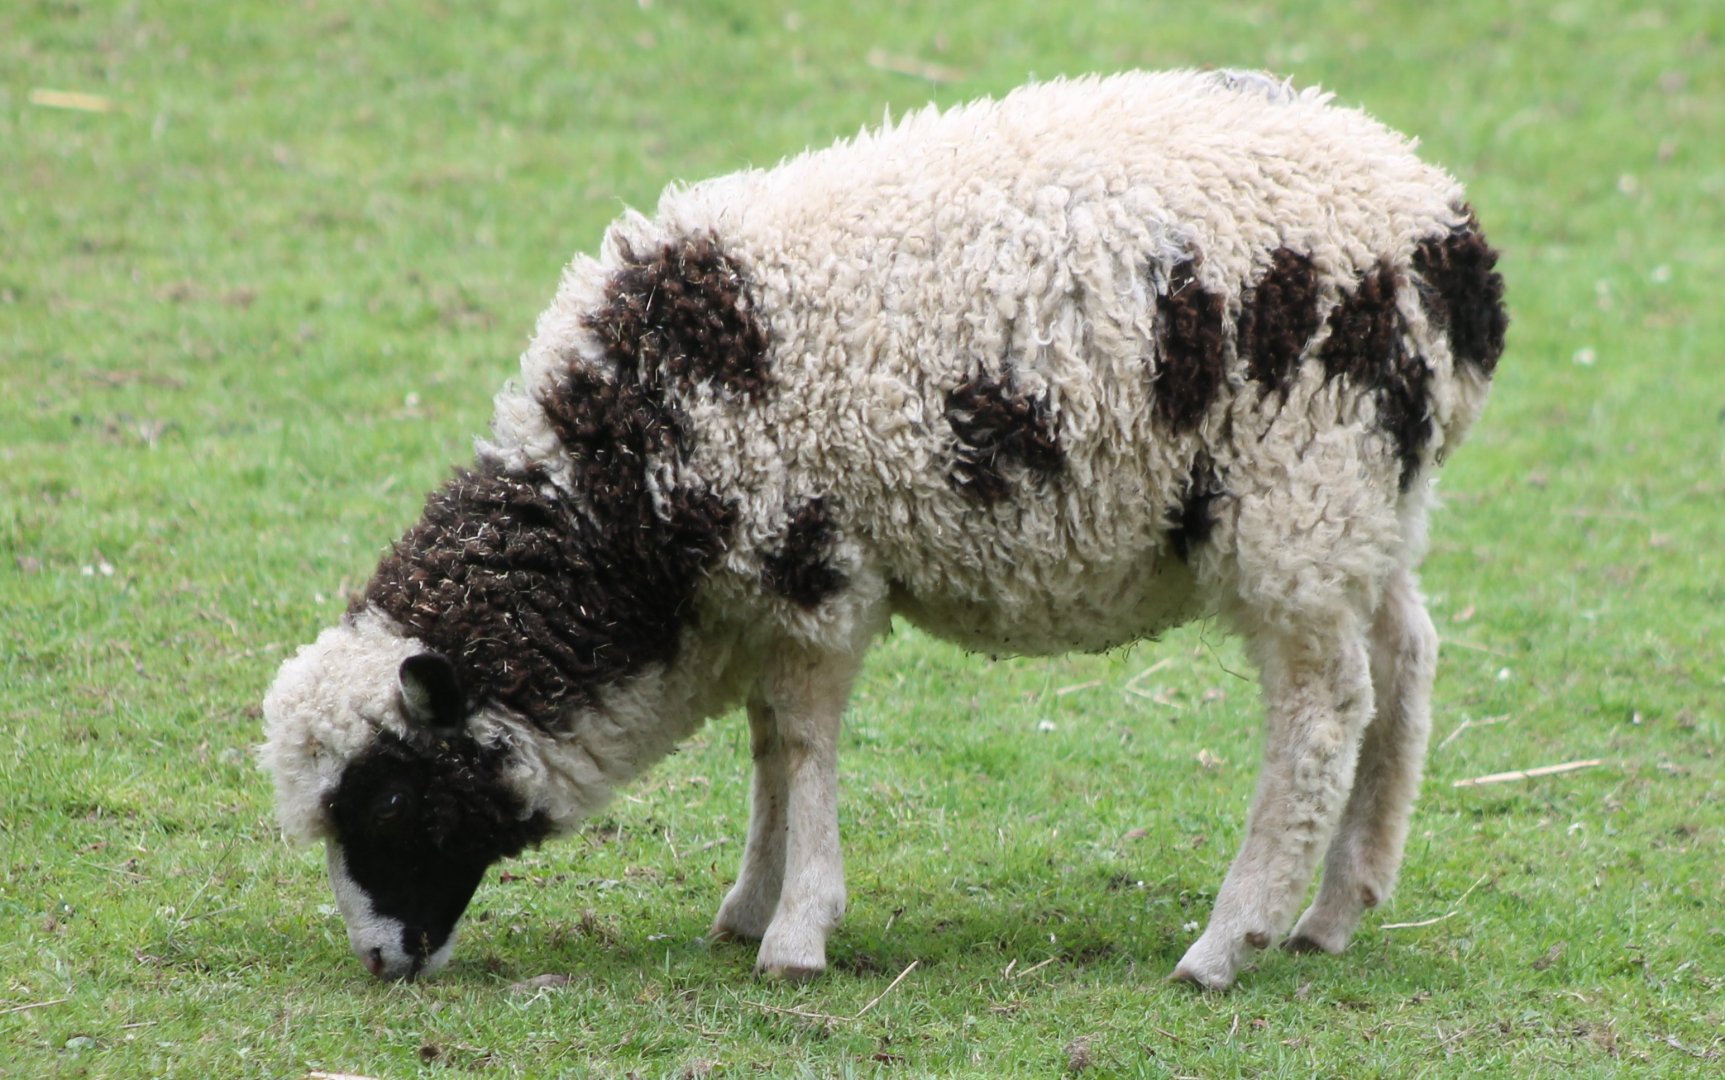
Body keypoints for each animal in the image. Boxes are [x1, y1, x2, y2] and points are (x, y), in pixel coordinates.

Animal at [261, 69, 1507, 990]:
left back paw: (1227, 940)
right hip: (1369, 500)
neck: (622, 506)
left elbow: (805, 743)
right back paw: (1338, 910)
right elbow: (770, 741)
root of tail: (1453, 244)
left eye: (389, 800)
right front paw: (748, 903)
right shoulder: (762, 595)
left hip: (1300, 492)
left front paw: (794, 933)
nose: (382, 961)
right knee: (1406, 668)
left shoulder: (815, 570)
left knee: (1321, 714)